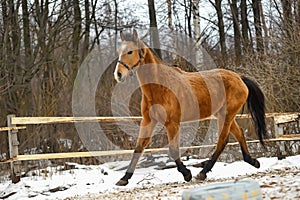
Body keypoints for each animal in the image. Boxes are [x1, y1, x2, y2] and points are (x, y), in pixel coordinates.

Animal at [113, 29, 268, 186]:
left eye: (130, 51)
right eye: (119, 51)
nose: (118, 74)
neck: (159, 86)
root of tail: (239, 77)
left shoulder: (172, 123)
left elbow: (173, 150)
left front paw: (187, 174)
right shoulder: (148, 121)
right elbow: (139, 148)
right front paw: (124, 178)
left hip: (226, 115)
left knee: (222, 141)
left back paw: (203, 172)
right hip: (223, 115)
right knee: (239, 134)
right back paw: (253, 161)